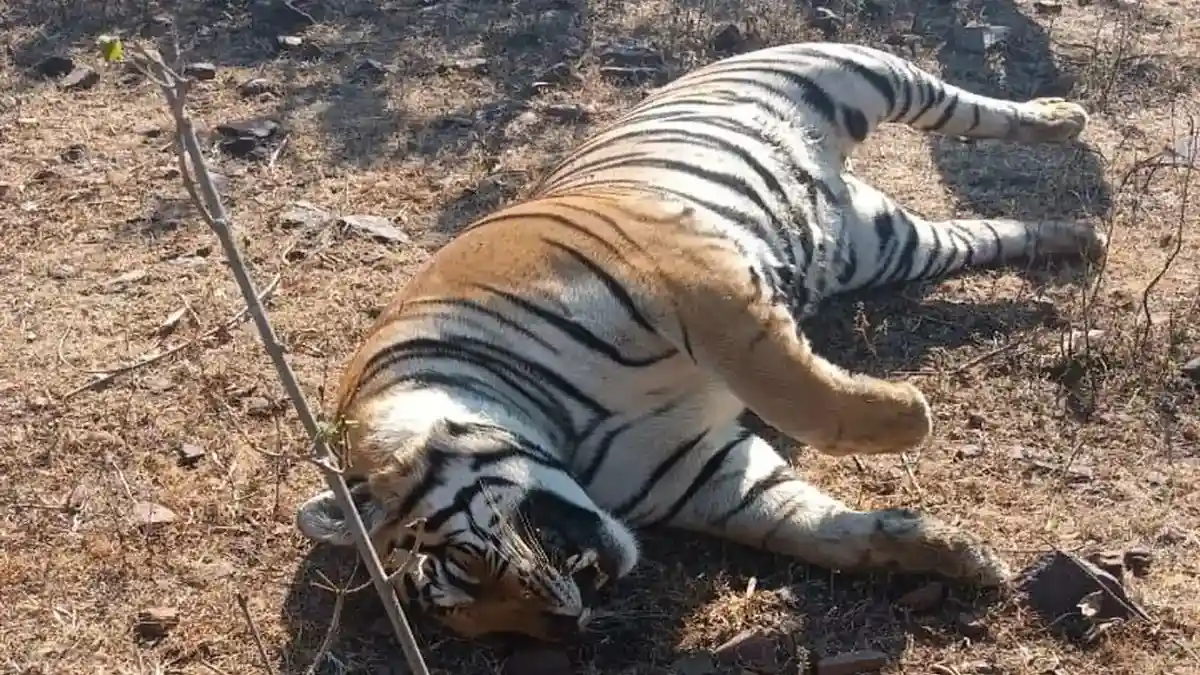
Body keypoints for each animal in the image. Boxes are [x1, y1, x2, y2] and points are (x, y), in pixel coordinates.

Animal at [295, 41, 1106, 642]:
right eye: (477, 623)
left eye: (467, 559)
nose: (567, 621)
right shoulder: (705, 474)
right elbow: (815, 528)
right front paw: (958, 557)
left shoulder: (683, 271)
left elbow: (788, 383)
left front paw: (909, 417)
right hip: (893, 245)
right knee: (989, 233)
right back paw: (1079, 239)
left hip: (854, 73)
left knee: (967, 109)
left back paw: (1061, 117)